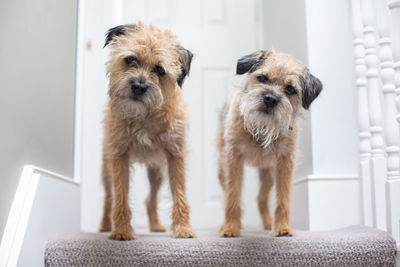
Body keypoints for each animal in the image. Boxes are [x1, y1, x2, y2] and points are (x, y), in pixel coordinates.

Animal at [99, 23, 195, 241]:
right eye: (130, 59)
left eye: (159, 70)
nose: (138, 86)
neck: (145, 117)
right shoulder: (119, 156)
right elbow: (120, 196)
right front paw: (121, 231)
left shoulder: (176, 156)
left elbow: (180, 193)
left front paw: (183, 228)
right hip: (106, 167)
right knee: (109, 197)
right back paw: (105, 225)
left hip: (157, 172)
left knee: (150, 199)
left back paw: (156, 225)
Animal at [219, 50, 322, 239]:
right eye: (262, 78)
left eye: (290, 89)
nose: (271, 98)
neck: (261, 127)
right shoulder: (233, 158)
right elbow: (233, 196)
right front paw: (230, 228)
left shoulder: (285, 161)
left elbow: (283, 197)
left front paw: (282, 228)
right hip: (222, 169)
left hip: (268, 174)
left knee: (261, 199)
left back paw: (268, 224)